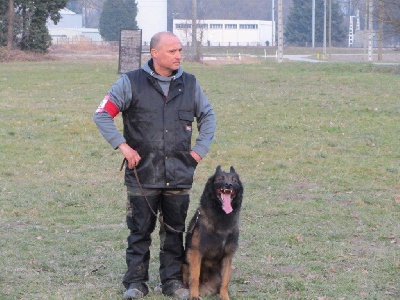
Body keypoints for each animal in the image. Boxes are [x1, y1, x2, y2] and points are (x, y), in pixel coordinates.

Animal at [182, 166, 244, 300]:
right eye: (220, 178)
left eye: (234, 180)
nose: (229, 184)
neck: (221, 216)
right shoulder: (196, 252)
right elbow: (194, 277)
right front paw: (193, 295)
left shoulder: (228, 256)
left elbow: (225, 281)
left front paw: (225, 296)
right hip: (185, 264)